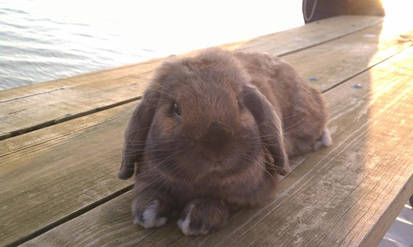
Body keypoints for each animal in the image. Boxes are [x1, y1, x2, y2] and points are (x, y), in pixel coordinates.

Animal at [117, 48, 330, 235]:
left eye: (239, 103)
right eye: (175, 108)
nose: (216, 149)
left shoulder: (254, 190)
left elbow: (224, 198)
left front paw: (197, 220)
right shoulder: (148, 177)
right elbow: (149, 191)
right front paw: (147, 214)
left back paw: (322, 139)